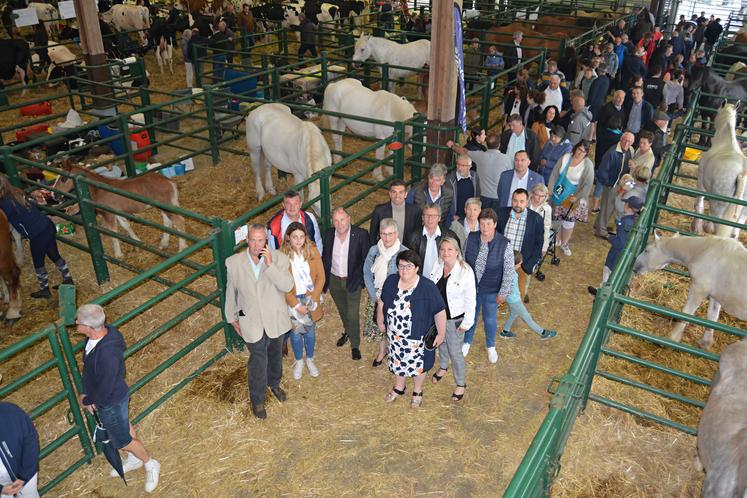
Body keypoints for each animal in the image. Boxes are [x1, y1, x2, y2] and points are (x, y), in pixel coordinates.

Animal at [688, 102, 747, 237]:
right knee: (734, 233)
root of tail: (741, 174)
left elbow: (699, 204)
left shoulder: (701, 182)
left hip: (719, 207)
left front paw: (697, 228)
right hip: (743, 213)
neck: (725, 144)